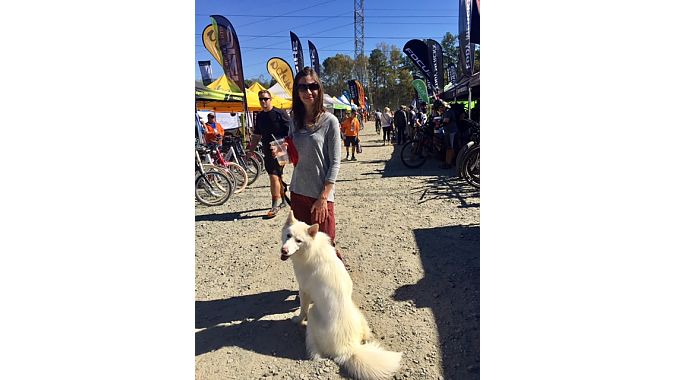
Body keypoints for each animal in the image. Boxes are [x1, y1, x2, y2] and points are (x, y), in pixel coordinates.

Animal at [280, 212, 402, 378]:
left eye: (299, 241)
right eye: (288, 235)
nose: (284, 250)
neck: (311, 249)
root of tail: (349, 349)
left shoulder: (304, 291)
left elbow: (302, 309)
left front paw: (297, 320)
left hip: (313, 313)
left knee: (315, 350)